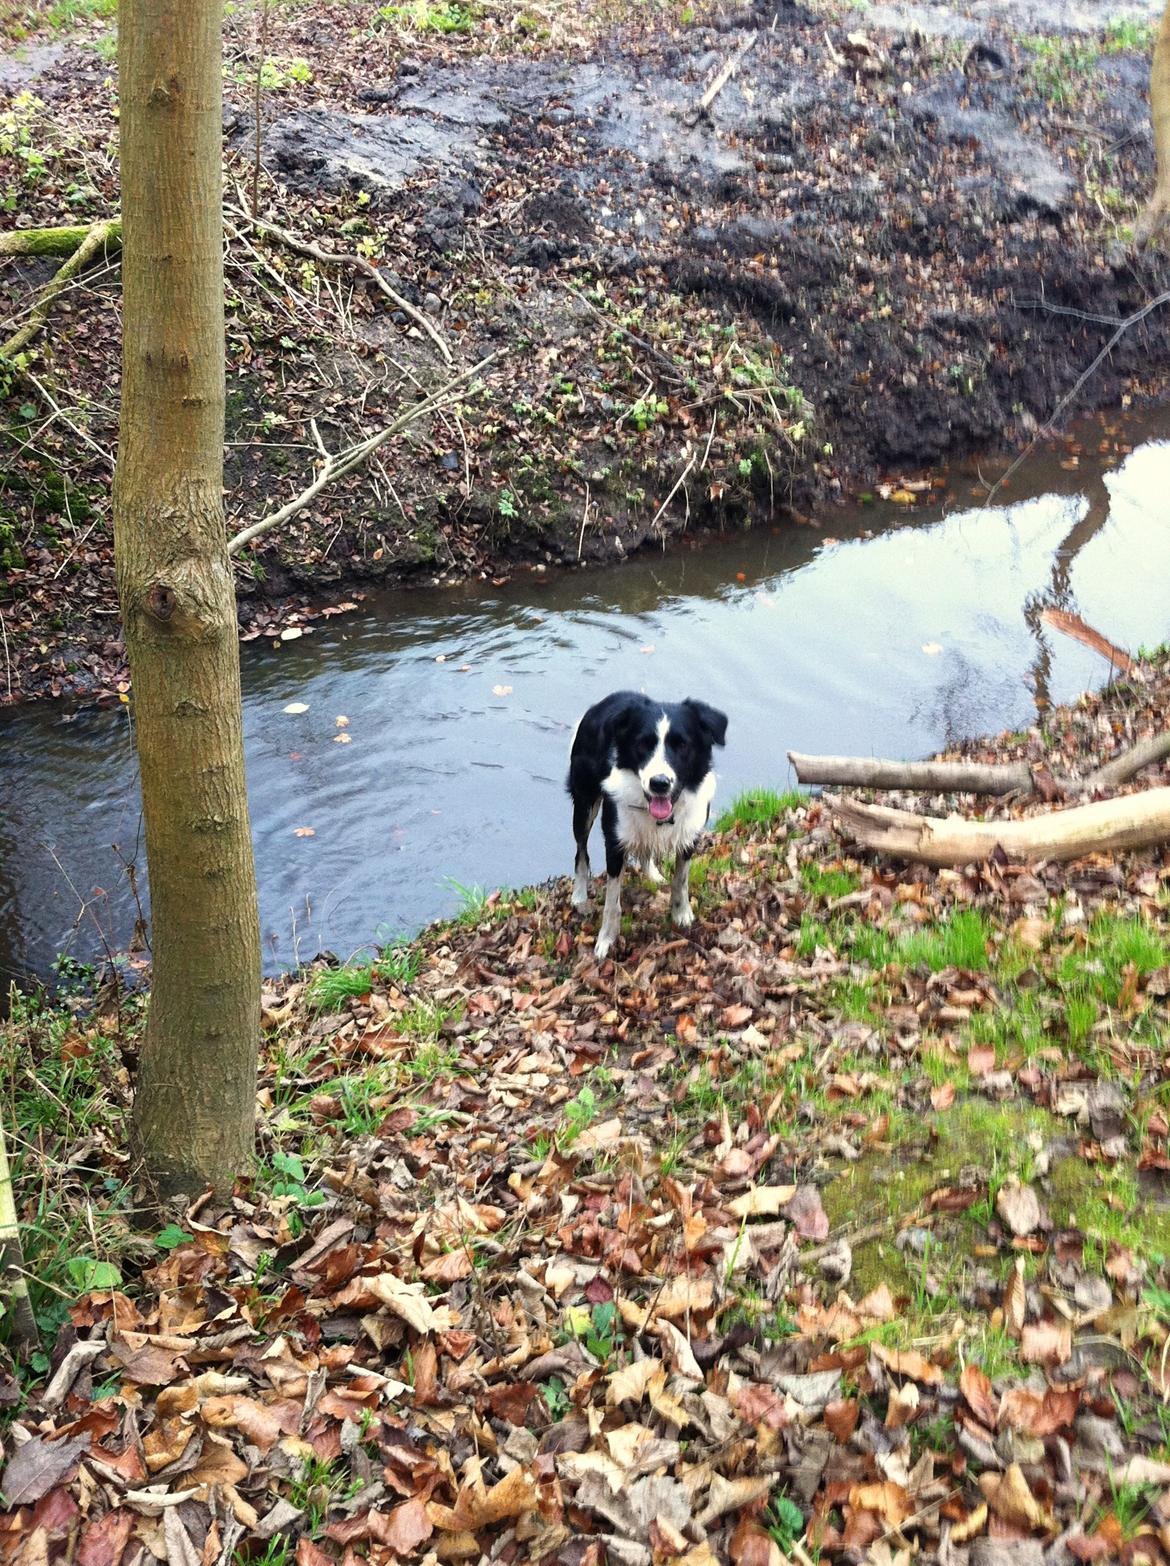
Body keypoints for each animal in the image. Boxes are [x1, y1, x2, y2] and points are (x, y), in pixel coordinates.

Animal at [570, 692, 726, 958]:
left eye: (682, 745)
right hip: (584, 804)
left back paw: (652, 873)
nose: (659, 783)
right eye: (642, 744)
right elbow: (612, 901)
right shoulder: (615, 842)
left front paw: (681, 914)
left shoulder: (690, 836)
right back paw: (580, 895)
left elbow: (680, 880)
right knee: (581, 852)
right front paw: (606, 939)